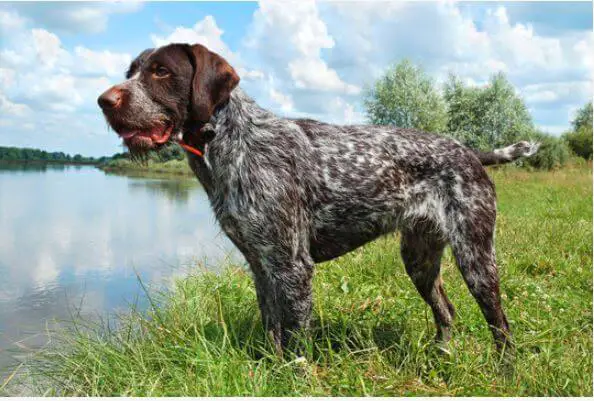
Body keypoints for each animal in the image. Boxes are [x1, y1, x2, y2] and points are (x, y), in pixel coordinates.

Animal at [98, 43, 536, 354]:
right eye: (130, 72)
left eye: (161, 71)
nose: (104, 101)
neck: (229, 141)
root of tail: (469, 152)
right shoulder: (262, 266)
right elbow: (272, 332)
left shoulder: (292, 267)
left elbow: (295, 342)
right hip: (420, 259)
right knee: (446, 311)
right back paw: (441, 356)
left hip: (475, 257)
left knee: (501, 326)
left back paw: (505, 373)